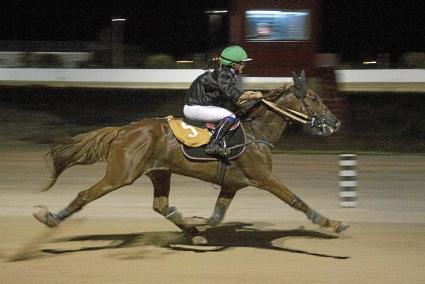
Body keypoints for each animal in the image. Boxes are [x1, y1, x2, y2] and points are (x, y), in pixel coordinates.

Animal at [34, 72, 348, 239]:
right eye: (314, 98)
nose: (335, 123)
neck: (255, 132)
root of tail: (124, 129)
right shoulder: (265, 178)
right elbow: (296, 200)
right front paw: (332, 222)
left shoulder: (232, 184)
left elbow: (216, 217)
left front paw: (196, 227)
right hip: (120, 174)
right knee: (84, 195)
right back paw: (49, 217)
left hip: (160, 172)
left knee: (161, 205)